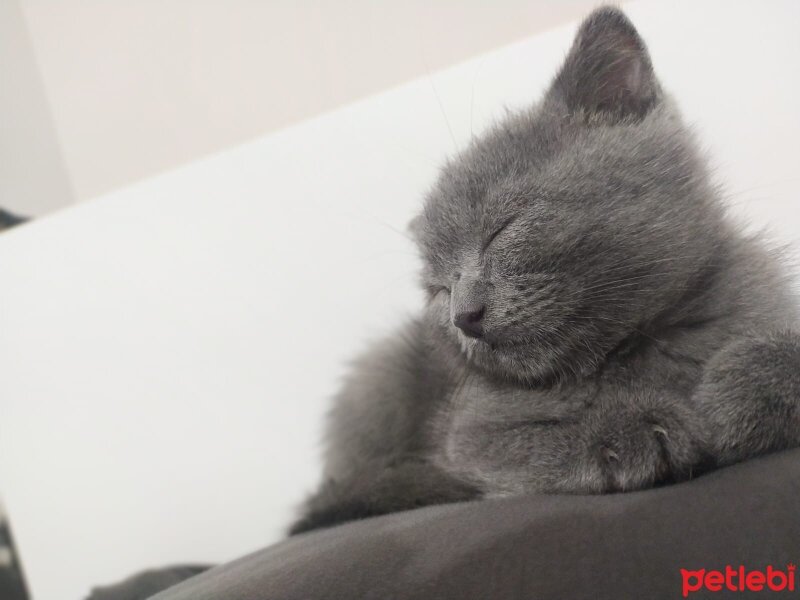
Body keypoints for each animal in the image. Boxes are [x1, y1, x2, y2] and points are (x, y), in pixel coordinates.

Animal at [288, 7, 800, 536]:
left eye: (502, 229)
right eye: (439, 289)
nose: (463, 316)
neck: (634, 347)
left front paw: (743, 388)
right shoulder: (470, 431)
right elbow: (525, 444)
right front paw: (624, 430)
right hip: (379, 376)